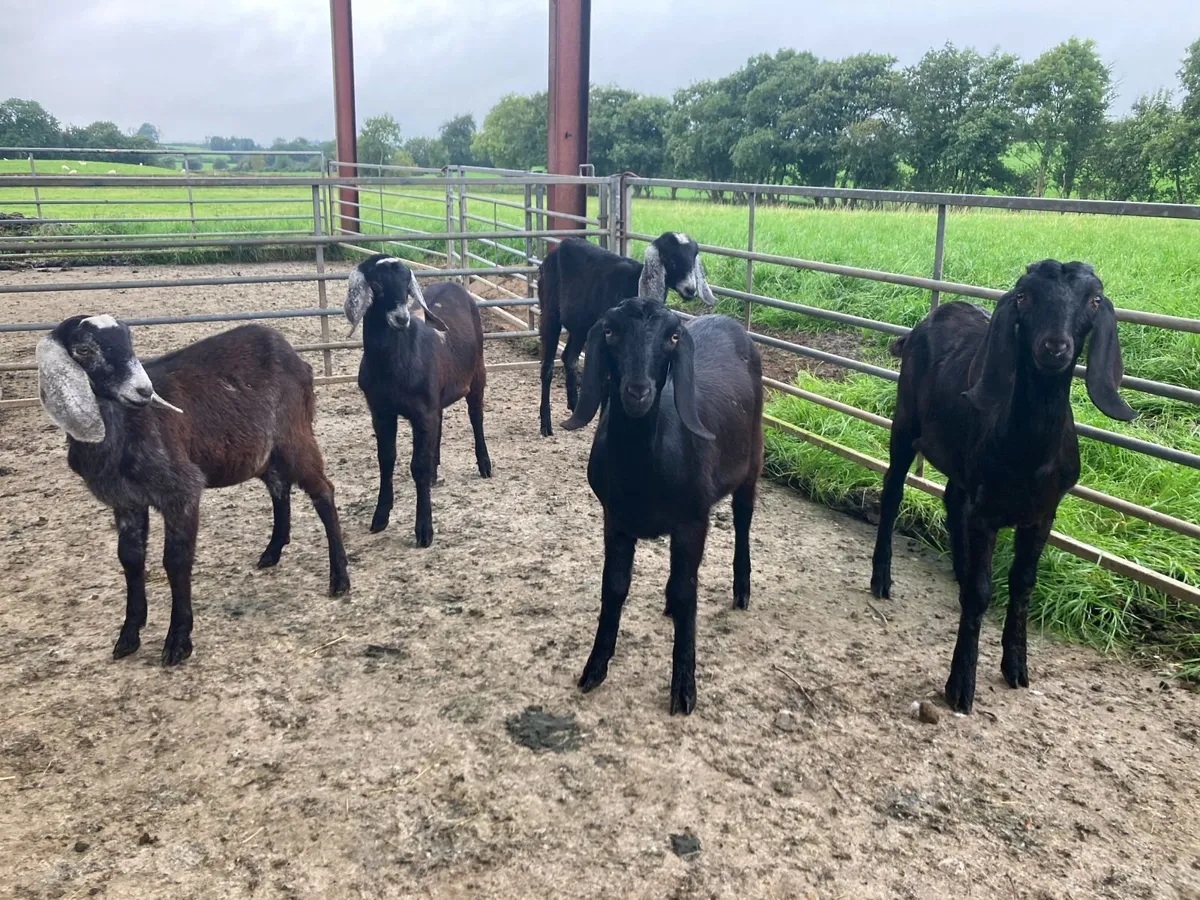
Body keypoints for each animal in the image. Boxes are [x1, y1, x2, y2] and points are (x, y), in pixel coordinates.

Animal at [37, 316, 350, 665]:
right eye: (84, 350)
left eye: (128, 340)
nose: (144, 390)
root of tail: (296, 358)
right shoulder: (126, 501)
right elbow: (130, 558)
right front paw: (129, 636)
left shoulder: (181, 491)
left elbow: (175, 560)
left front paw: (177, 640)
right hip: (261, 451)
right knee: (279, 487)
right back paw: (272, 552)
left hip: (294, 435)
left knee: (323, 492)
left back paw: (339, 578)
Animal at [345, 255, 491, 547]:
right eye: (376, 284)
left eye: (406, 285)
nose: (402, 318)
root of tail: (453, 284)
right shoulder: (381, 412)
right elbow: (386, 459)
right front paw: (380, 517)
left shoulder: (422, 413)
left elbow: (418, 467)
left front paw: (424, 530)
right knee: (441, 422)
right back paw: (436, 472)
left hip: (477, 373)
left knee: (476, 417)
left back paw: (484, 465)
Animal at [538, 232, 717, 437]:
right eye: (671, 259)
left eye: (693, 257)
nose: (690, 290)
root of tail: (556, 250)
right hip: (550, 311)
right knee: (548, 366)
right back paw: (545, 424)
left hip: (580, 325)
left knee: (569, 358)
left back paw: (575, 409)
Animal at [561, 298, 763, 715]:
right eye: (610, 331)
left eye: (672, 337)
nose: (638, 392)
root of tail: (730, 321)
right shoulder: (615, 520)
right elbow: (614, 587)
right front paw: (594, 668)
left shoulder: (693, 521)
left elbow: (689, 593)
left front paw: (684, 688)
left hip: (752, 460)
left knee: (743, 520)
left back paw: (742, 589)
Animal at [870, 260, 1136, 713]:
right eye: (1025, 297)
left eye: (1094, 300)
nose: (1054, 347)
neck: (1027, 452)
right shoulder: (986, 512)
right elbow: (982, 591)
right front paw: (961, 685)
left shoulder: (1042, 514)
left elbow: (1023, 583)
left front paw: (1016, 667)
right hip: (905, 423)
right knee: (892, 493)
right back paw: (882, 579)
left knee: (951, 498)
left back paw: (959, 573)